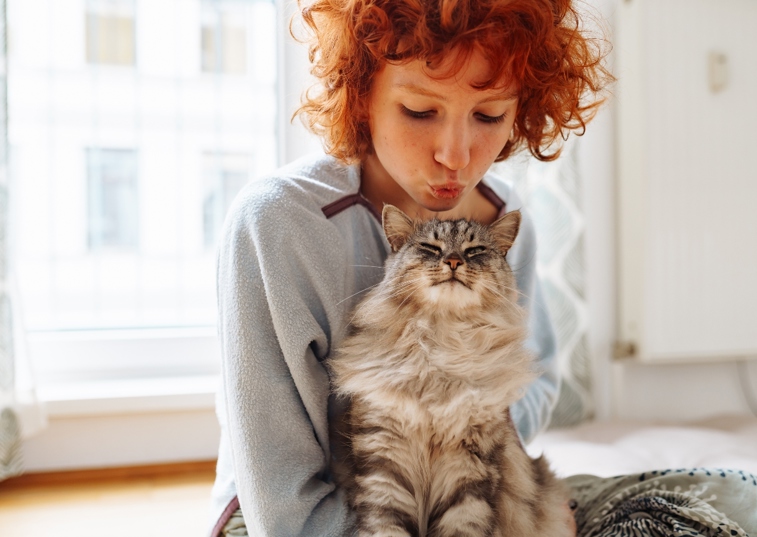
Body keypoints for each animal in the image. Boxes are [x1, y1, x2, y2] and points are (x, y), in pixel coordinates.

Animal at [328, 203, 568, 532]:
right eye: (431, 248)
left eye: (475, 250)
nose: (453, 260)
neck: (441, 341)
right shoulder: (385, 465)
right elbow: (385, 526)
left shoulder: (469, 469)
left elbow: (465, 524)